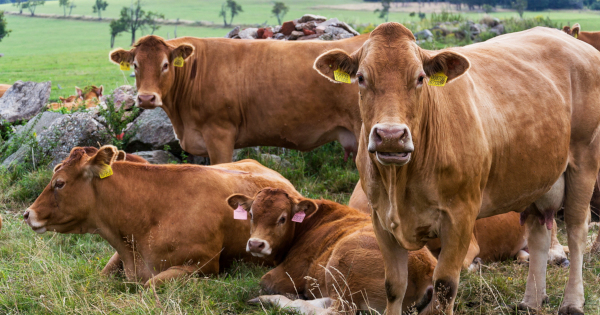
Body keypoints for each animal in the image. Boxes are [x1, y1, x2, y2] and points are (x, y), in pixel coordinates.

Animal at [227, 188, 438, 314]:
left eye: (283, 218)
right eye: (251, 214)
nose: (256, 244)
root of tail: (427, 268)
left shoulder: (288, 273)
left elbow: (265, 281)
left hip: (344, 264)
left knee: (336, 310)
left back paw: (270, 299)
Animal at [314, 22, 600, 315]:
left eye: (420, 78)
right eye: (361, 77)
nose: (391, 135)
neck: (400, 181)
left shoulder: (460, 216)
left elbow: (444, 286)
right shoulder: (380, 217)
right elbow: (394, 285)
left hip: (584, 162)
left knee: (577, 230)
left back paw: (572, 302)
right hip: (535, 178)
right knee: (538, 233)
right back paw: (531, 301)